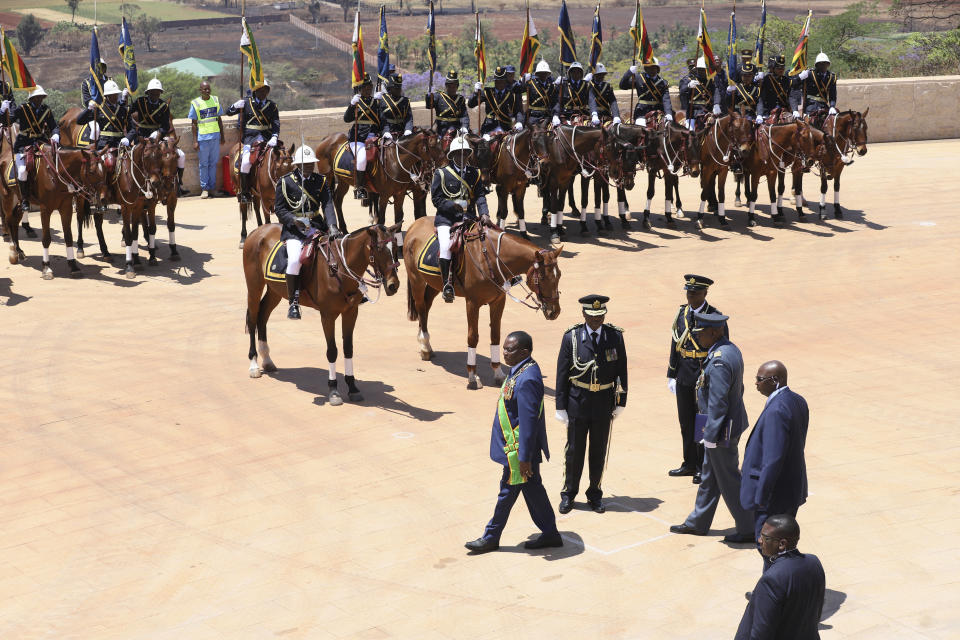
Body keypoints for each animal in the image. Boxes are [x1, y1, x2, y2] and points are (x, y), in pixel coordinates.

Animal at [246, 225, 404, 402]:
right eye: (379, 249)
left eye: (396, 248)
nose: (393, 285)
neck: (339, 267)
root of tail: (259, 231)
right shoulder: (327, 316)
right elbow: (332, 351)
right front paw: (333, 390)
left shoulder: (350, 313)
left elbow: (348, 348)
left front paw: (352, 387)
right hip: (254, 287)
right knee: (252, 319)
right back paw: (254, 364)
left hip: (275, 291)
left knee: (262, 316)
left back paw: (267, 360)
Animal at [404, 218, 568, 390]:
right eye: (542, 277)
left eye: (559, 275)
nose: (554, 311)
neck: (491, 258)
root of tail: (416, 223)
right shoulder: (472, 303)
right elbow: (472, 337)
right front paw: (472, 376)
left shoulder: (498, 301)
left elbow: (495, 336)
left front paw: (498, 373)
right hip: (416, 280)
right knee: (421, 307)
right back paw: (424, 346)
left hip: (434, 284)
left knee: (427, 306)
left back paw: (427, 345)